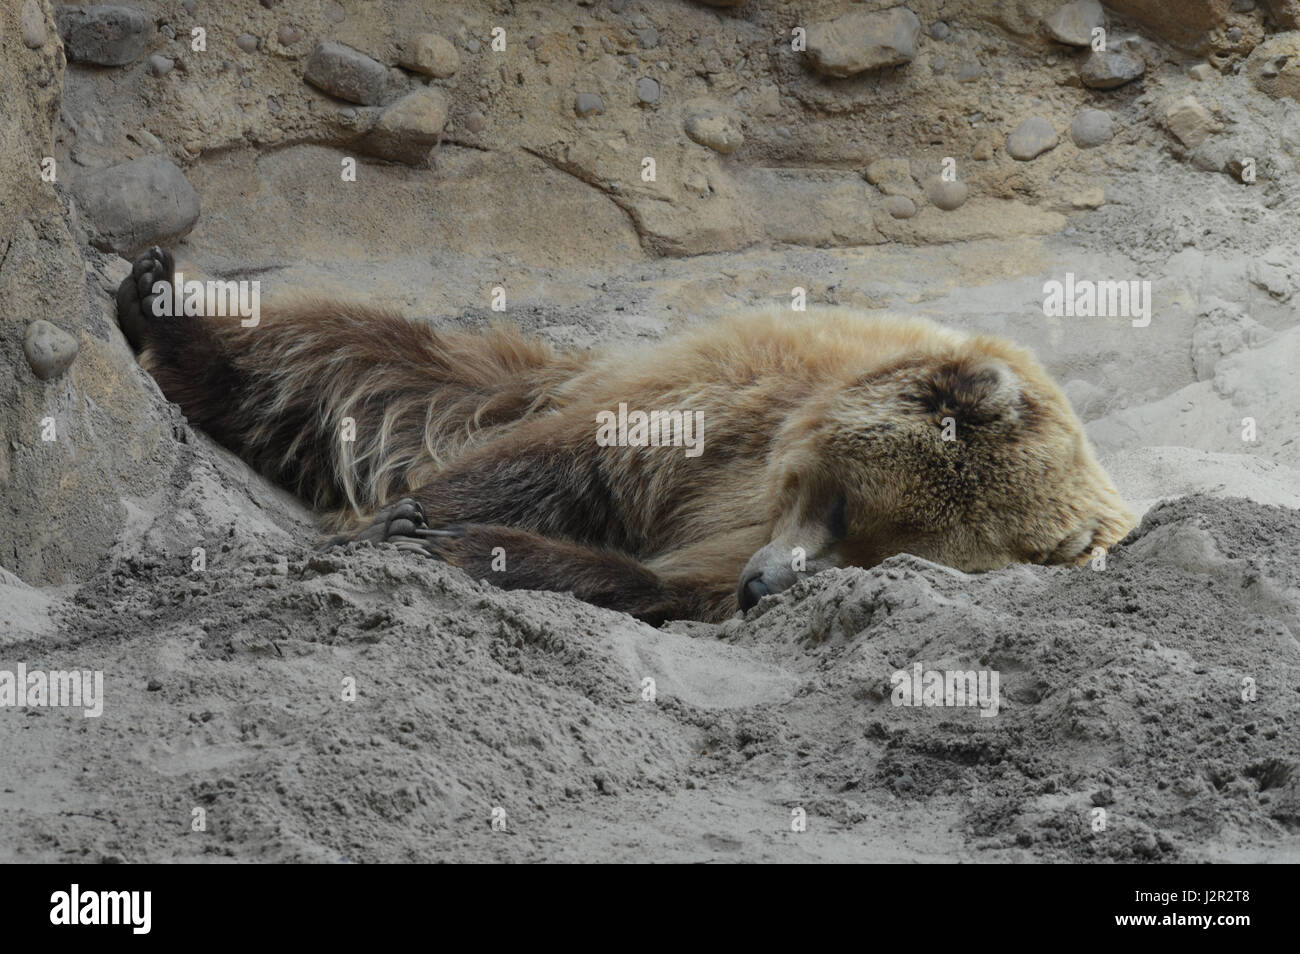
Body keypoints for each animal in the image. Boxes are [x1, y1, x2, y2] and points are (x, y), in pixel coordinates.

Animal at [115, 246, 1136, 625]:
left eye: (894, 558)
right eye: (847, 506)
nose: (770, 586)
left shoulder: (726, 533)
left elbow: (665, 582)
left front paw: (476, 548)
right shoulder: (727, 406)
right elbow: (563, 464)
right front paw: (402, 523)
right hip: (534, 376)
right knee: (360, 358)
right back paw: (165, 309)